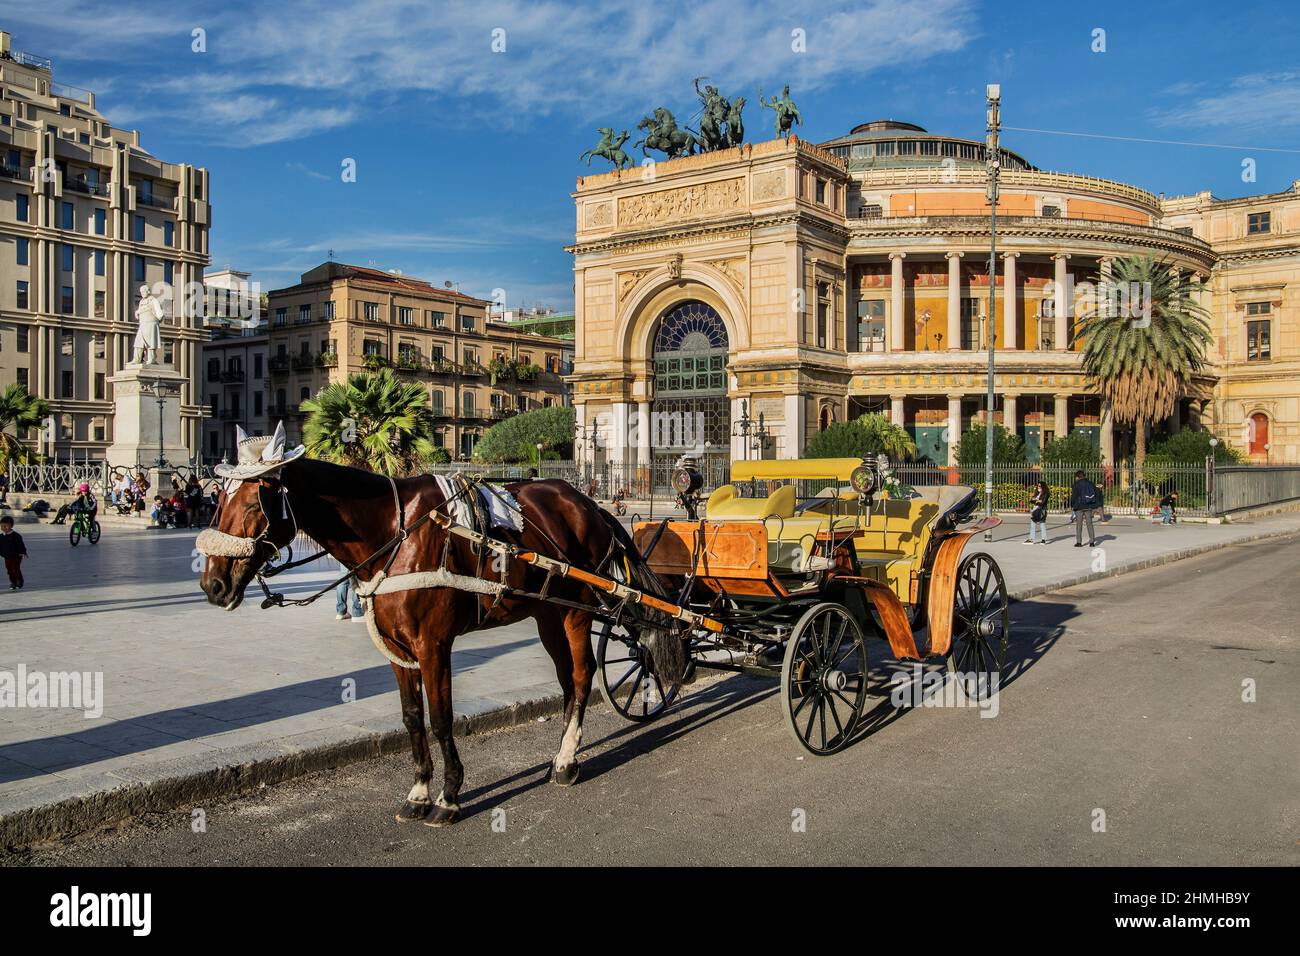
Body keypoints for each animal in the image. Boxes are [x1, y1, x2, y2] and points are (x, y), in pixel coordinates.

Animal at [200, 455, 681, 822]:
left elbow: (442, 719)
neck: (392, 530)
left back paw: (566, 764)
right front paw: (417, 793)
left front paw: (449, 798)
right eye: (217, 500)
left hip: (575, 613)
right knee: (567, 682)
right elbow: (413, 718)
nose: (212, 585)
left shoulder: (433, 645)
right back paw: (562, 754)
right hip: (548, 614)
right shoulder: (399, 652)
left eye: (253, 504)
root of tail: (588, 504)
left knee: (581, 678)